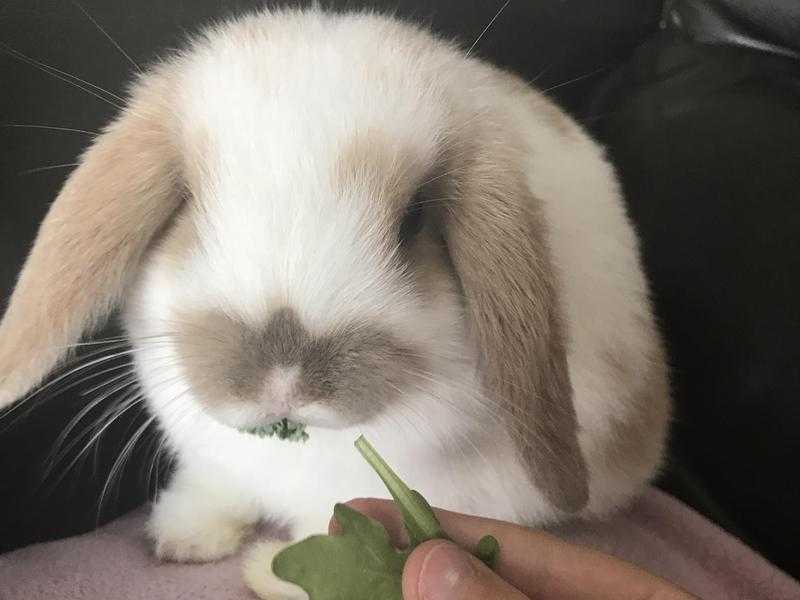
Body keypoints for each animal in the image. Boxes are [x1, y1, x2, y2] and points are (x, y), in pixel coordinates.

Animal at [0, 4, 668, 568]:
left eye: (414, 220)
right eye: (187, 201)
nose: (283, 381)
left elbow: (329, 527)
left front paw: (275, 568)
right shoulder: (213, 457)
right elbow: (216, 484)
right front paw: (185, 537)